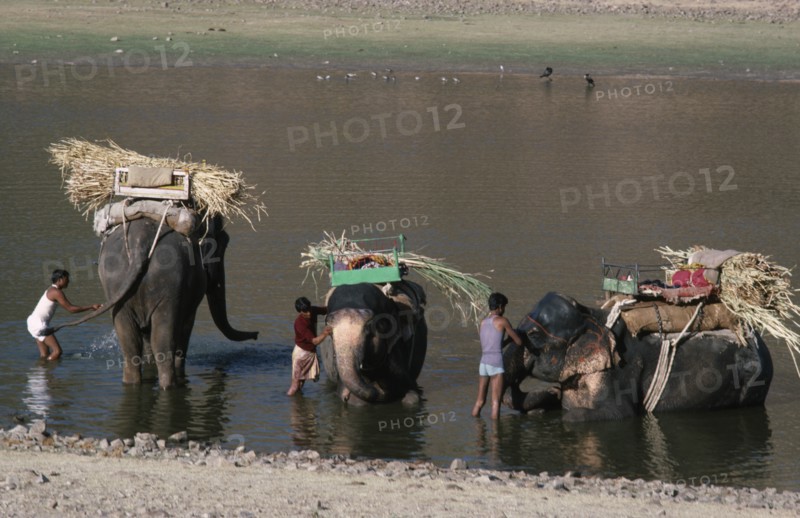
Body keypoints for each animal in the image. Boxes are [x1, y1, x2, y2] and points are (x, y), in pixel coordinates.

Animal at [60, 214, 257, 389]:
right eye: (224, 242)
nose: (256, 334)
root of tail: (140, 243)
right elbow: (184, 331)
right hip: (168, 287)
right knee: (163, 344)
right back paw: (170, 386)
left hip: (116, 290)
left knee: (130, 345)